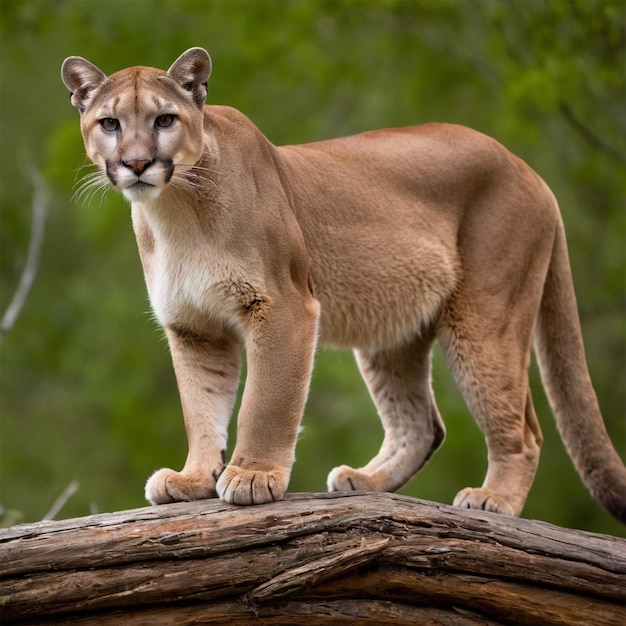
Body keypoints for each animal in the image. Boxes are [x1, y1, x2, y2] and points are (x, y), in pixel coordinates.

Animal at [61, 46, 620, 520]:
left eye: (164, 119)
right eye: (109, 123)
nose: (136, 163)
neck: (175, 210)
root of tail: (528, 170)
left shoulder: (284, 305)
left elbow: (266, 399)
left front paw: (252, 476)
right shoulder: (194, 327)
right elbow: (201, 407)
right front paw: (194, 478)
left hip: (486, 316)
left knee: (524, 429)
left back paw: (493, 499)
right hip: (392, 329)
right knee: (421, 424)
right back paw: (366, 481)